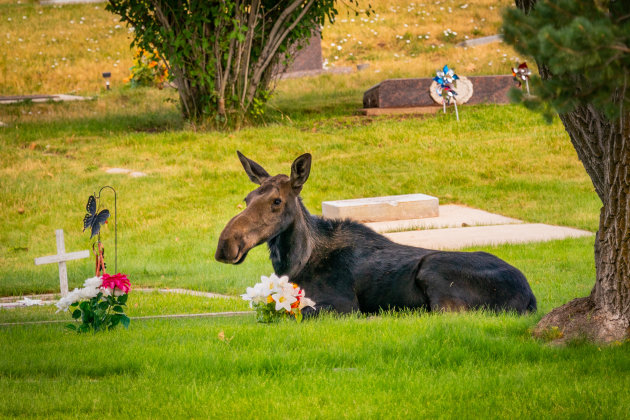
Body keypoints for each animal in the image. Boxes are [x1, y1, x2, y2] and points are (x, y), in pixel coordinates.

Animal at [217, 153, 540, 316]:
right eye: (247, 198)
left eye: (276, 201)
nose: (225, 245)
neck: (294, 262)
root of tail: (530, 297)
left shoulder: (343, 305)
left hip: (433, 269)